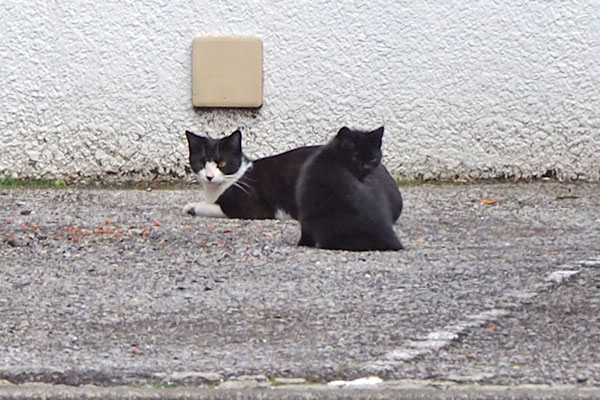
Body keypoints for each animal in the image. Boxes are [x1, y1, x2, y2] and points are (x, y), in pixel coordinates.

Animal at [183, 130, 322, 219]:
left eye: (222, 163)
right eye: (202, 163)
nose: (209, 176)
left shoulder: (254, 207)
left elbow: (215, 207)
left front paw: (195, 207)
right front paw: (191, 205)